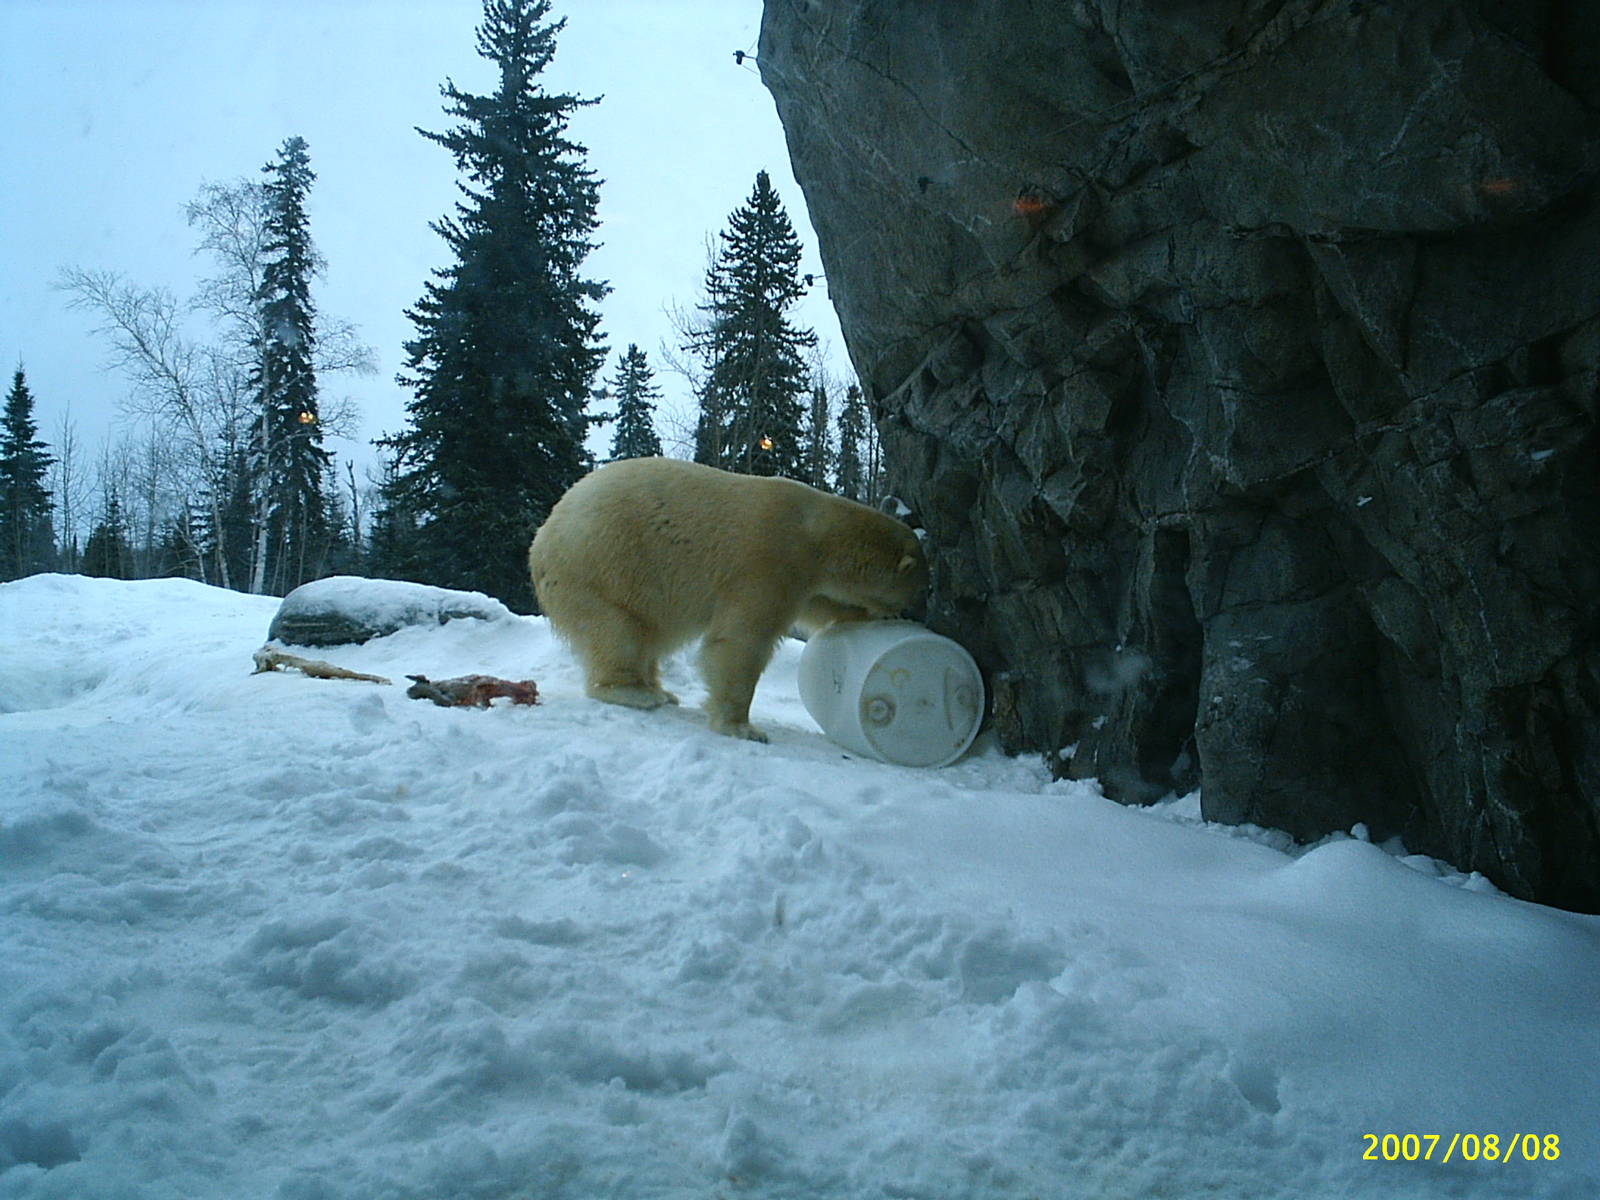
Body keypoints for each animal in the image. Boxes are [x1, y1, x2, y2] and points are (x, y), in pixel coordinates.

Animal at [528, 456, 928, 742]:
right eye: (915, 592)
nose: (912, 610)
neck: (817, 529)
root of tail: (541, 538)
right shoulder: (770, 558)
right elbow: (743, 640)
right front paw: (743, 728)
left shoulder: (805, 576)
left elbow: (822, 607)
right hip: (597, 569)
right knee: (617, 632)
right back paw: (637, 693)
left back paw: (660, 689)